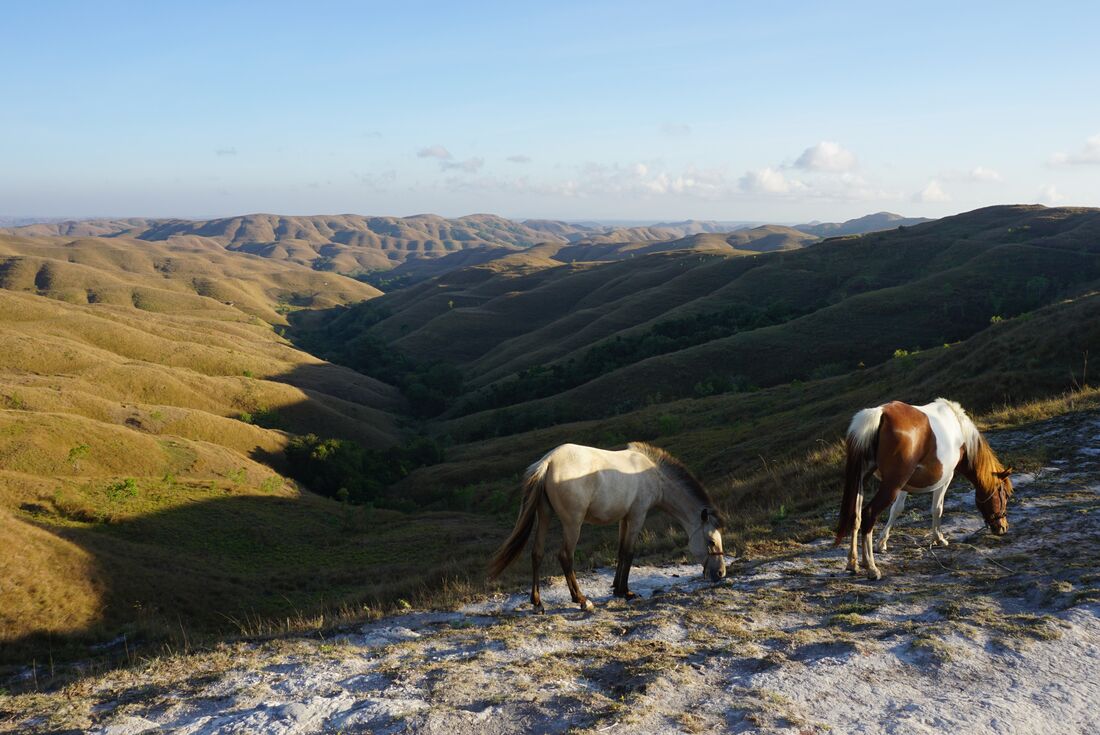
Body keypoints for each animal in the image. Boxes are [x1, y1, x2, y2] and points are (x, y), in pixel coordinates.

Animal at [488, 442, 726, 612]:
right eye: (711, 541)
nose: (721, 573)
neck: (652, 475)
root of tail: (547, 463)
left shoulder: (624, 518)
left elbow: (621, 552)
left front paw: (617, 589)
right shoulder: (637, 516)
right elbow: (629, 552)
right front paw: (627, 592)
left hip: (544, 515)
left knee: (536, 554)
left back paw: (538, 603)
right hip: (573, 524)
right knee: (565, 556)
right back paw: (581, 600)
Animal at [835, 398, 1013, 580]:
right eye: (1005, 495)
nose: (1003, 527)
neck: (960, 431)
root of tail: (880, 414)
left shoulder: (905, 484)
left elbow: (897, 509)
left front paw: (882, 542)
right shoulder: (946, 478)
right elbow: (937, 508)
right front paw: (939, 538)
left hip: (863, 480)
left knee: (856, 516)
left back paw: (853, 563)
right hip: (891, 485)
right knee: (869, 515)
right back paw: (871, 567)